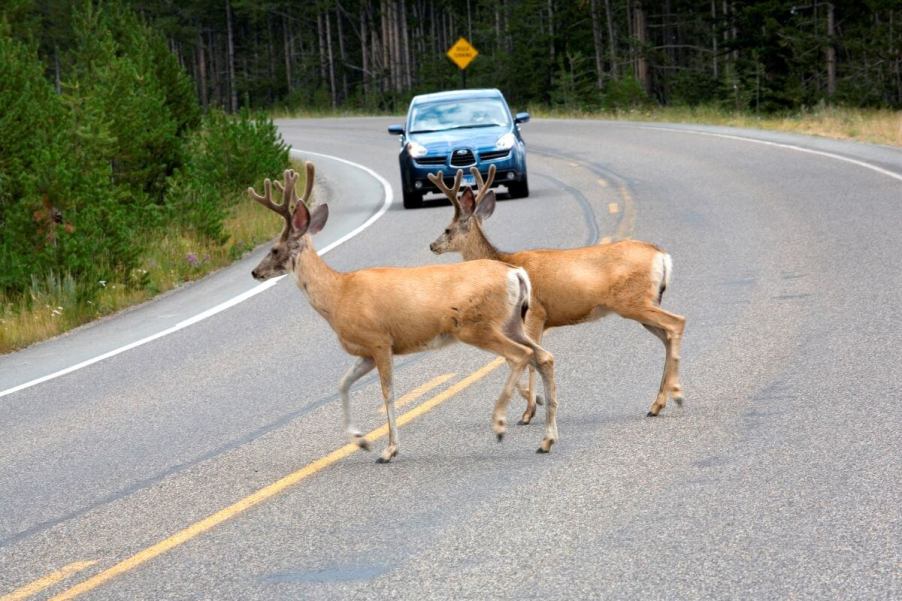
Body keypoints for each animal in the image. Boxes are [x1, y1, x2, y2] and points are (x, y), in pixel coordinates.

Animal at [247, 162, 556, 462]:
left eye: (275, 249)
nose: (255, 272)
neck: (338, 294)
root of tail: (515, 273)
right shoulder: (365, 351)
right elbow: (343, 384)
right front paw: (361, 440)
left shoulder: (379, 340)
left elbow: (388, 393)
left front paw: (389, 449)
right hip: (512, 323)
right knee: (544, 357)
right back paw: (546, 439)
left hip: (478, 326)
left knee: (521, 355)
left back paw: (500, 424)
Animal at [430, 166, 684, 424]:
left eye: (447, 229)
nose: (432, 245)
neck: (504, 262)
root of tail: (662, 255)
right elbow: (522, 357)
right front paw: (536, 401)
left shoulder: (535, 313)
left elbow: (529, 359)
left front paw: (529, 411)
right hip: (644, 304)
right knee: (666, 336)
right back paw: (657, 403)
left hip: (634, 301)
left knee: (677, 322)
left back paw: (674, 396)